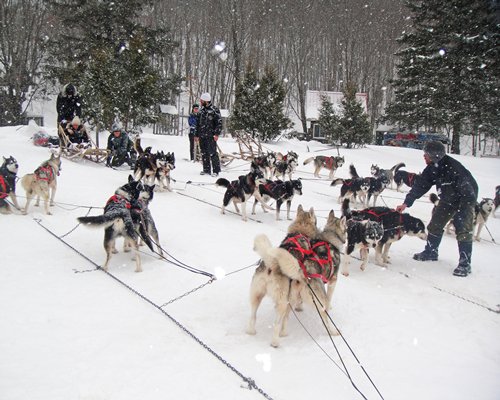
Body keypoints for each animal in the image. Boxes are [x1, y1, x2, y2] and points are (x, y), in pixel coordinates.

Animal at [247, 206, 348, 346]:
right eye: (347, 228)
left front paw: (300, 308)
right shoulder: (333, 281)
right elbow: (330, 296)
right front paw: (331, 305)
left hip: (260, 295)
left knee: (254, 316)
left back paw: (255, 331)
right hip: (295, 300)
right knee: (281, 323)